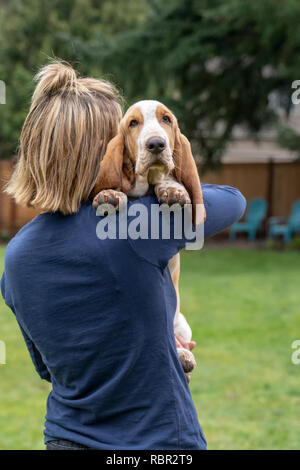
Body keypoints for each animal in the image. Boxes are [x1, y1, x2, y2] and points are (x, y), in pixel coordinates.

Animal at [91, 100, 205, 378]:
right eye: (133, 123)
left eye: (167, 120)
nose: (156, 144)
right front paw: (108, 194)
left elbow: (171, 179)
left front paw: (174, 190)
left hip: (181, 321)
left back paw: (184, 356)